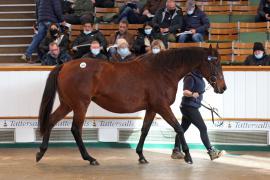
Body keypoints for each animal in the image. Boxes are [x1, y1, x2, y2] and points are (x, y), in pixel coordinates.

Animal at [35, 45, 226, 165]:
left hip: (67, 104)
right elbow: (178, 128)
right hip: (80, 105)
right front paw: (188, 155)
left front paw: (141, 156)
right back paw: (90, 158)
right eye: (215, 62)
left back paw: (41, 152)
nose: (223, 87)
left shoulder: (152, 108)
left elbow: (145, 130)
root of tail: (64, 65)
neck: (163, 71)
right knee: (76, 129)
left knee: (51, 121)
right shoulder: (162, 107)